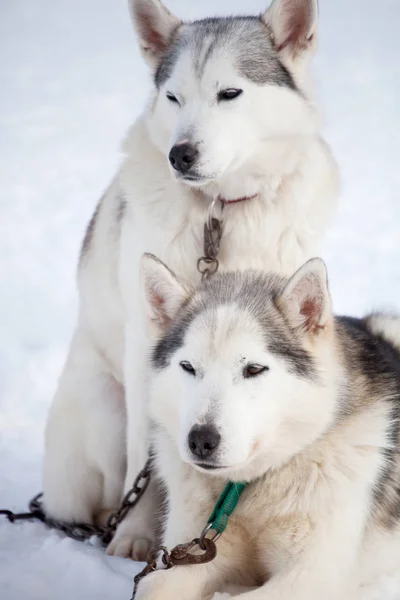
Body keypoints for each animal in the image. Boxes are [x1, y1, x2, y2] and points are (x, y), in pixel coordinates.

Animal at [43, 0, 340, 556]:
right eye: (173, 96)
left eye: (230, 93)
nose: (179, 154)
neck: (223, 211)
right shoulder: (149, 348)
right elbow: (145, 461)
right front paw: (135, 537)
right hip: (103, 406)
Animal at [140, 253, 400, 600]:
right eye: (188, 367)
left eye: (253, 369)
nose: (201, 440)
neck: (251, 485)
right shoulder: (195, 550)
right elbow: (152, 586)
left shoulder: (308, 577)